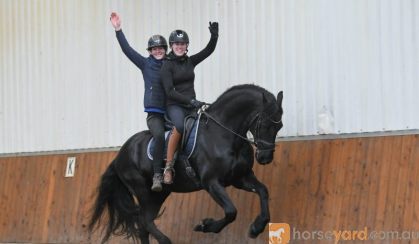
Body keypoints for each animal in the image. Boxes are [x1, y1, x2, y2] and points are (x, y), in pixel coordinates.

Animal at [88, 83, 286, 242]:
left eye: (279, 126)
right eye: (265, 124)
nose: (265, 158)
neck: (224, 134)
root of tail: (119, 155)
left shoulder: (240, 178)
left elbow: (263, 191)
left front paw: (256, 228)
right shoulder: (211, 183)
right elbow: (231, 211)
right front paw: (205, 226)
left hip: (159, 194)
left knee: (145, 225)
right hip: (142, 190)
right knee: (144, 220)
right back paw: (166, 240)